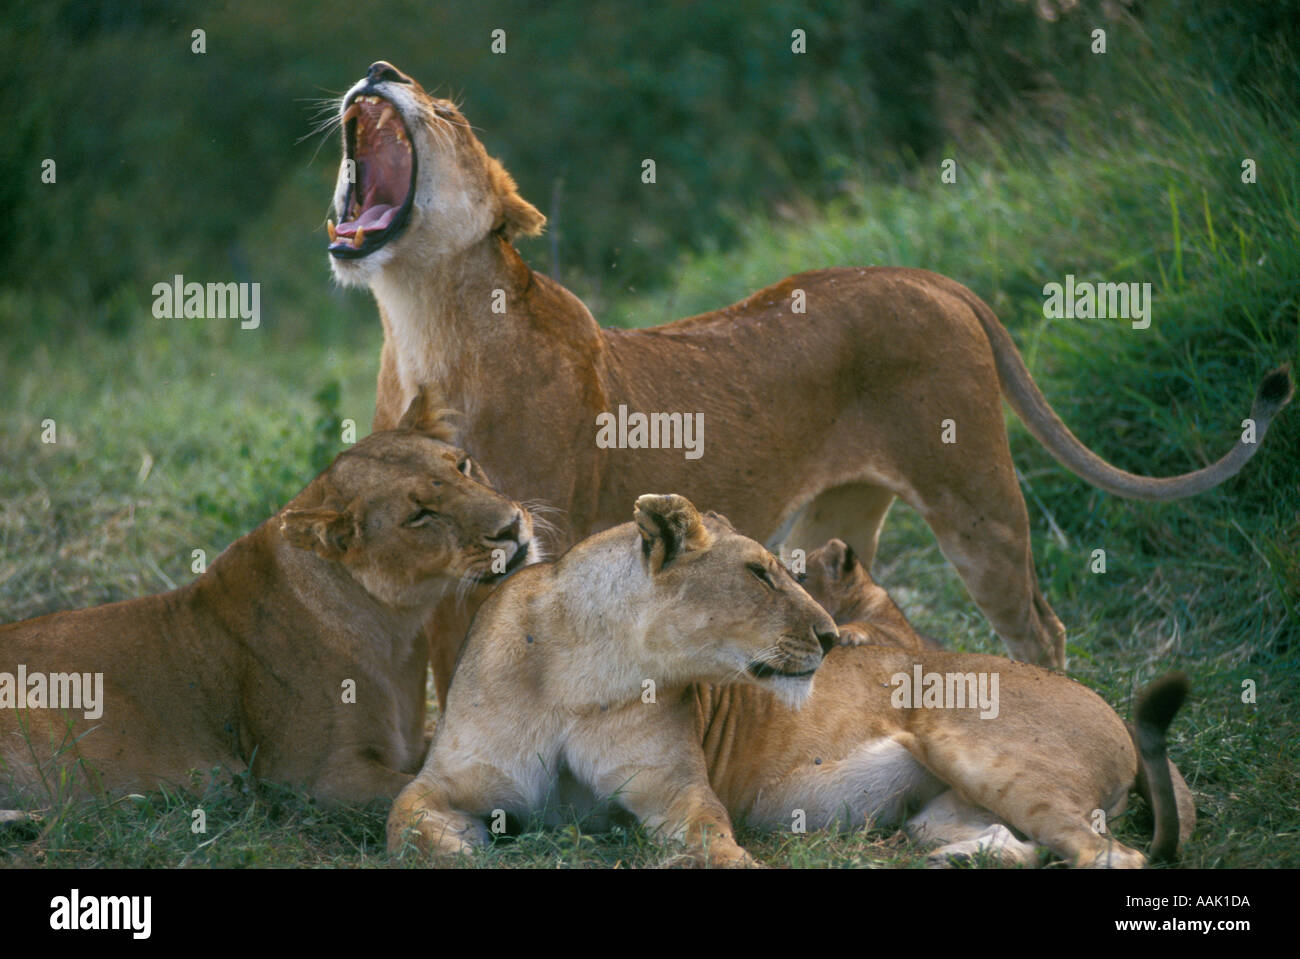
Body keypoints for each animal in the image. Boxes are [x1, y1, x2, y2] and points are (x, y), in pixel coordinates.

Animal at [0, 388, 535, 807]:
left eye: (464, 465)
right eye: (420, 515)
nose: (511, 526)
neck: (396, 630)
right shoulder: (314, 779)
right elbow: (415, 791)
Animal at [326, 61, 1290, 695]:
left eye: (445, 111)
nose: (377, 68)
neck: (423, 322)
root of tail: (925, 275)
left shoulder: (539, 535)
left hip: (975, 497)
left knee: (1041, 627)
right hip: (836, 521)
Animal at [386, 496, 1190, 868]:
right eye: (759, 573)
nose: (834, 637)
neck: (580, 673)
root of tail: (1111, 707)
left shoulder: (675, 792)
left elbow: (716, 843)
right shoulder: (439, 785)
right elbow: (408, 826)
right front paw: (467, 846)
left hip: (973, 746)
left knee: (1109, 854)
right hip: (941, 810)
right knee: (1018, 845)